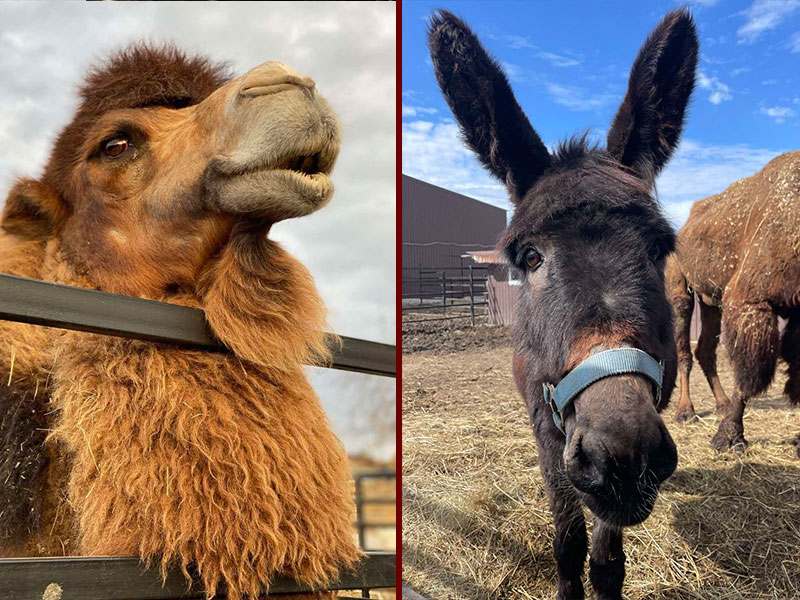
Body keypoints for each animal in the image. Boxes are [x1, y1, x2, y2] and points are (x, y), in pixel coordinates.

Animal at [668, 149, 800, 454]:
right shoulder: (748, 299)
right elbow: (748, 371)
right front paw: (728, 439)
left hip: (711, 302)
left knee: (705, 350)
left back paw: (721, 403)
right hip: (681, 291)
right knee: (684, 351)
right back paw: (685, 411)